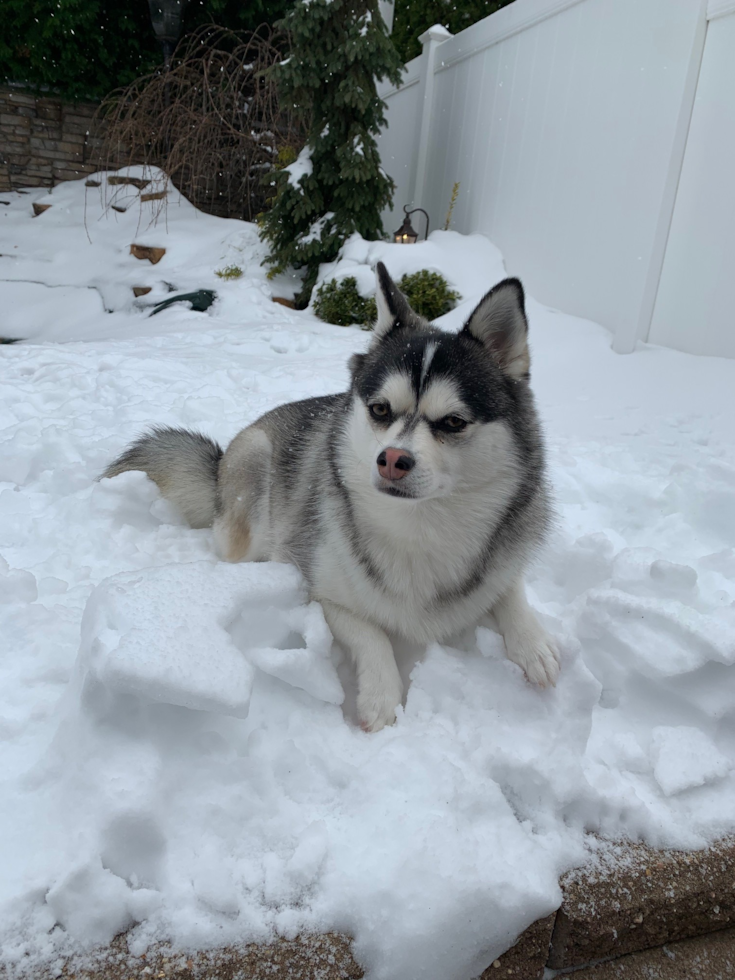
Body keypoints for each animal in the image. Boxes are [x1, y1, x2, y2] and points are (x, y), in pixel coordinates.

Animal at [103, 264, 560, 732]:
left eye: (452, 421)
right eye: (380, 410)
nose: (391, 460)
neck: (419, 528)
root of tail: (219, 464)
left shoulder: (504, 556)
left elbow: (509, 588)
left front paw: (533, 643)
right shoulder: (315, 588)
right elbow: (371, 633)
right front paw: (381, 697)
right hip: (253, 471)